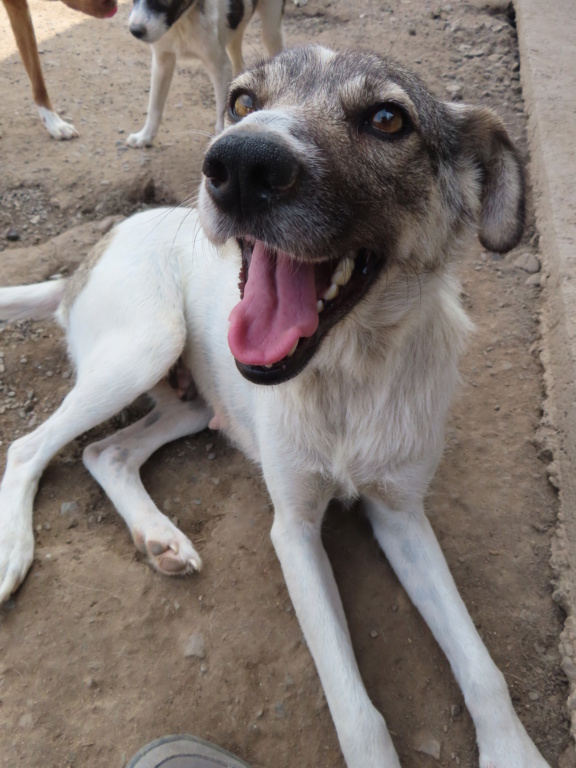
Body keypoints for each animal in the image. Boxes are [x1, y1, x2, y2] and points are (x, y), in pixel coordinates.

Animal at [0, 46, 552, 768]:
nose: (239, 166)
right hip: (146, 346)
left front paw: (514, 752)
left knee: (105, 450)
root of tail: (85, 260)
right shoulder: (292, 530)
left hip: (187, 399)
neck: (347, 376)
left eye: (387, 119)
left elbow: (483, 669)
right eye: (241, 102)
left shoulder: (401, 514)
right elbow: (356, 713)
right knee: (28, 447)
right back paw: (16, 552)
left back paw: (159, 537)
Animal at [129, 0, 286, 146]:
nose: (135, 31)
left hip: (271, 29)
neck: (183, 21)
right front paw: (145, 136)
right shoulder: (161, 61)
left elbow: (222, 112)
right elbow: (154, 105)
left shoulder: (220, 67)